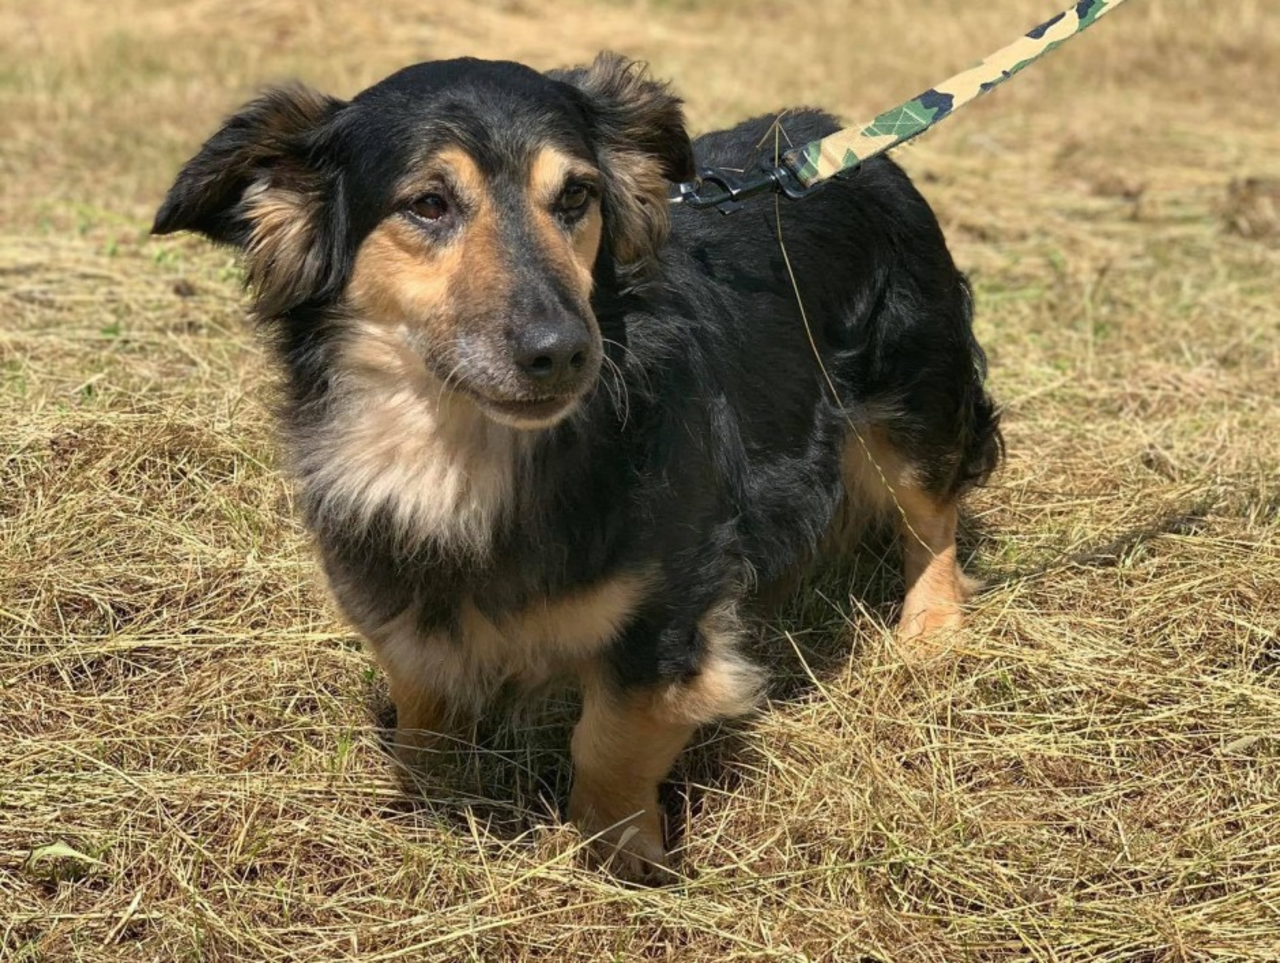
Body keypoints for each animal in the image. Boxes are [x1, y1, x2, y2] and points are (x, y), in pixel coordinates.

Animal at [154, 53, 1001, 881]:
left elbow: (611, 739)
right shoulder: (393, 567)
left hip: (915, 394)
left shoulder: (665, 604)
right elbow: (425, 699)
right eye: (428, 204)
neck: (466, 448)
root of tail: (836, 142)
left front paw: (615, 857)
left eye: (576, 196)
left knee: (932, 515)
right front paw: (424, 804)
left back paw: (930, 627)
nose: (561, 352)